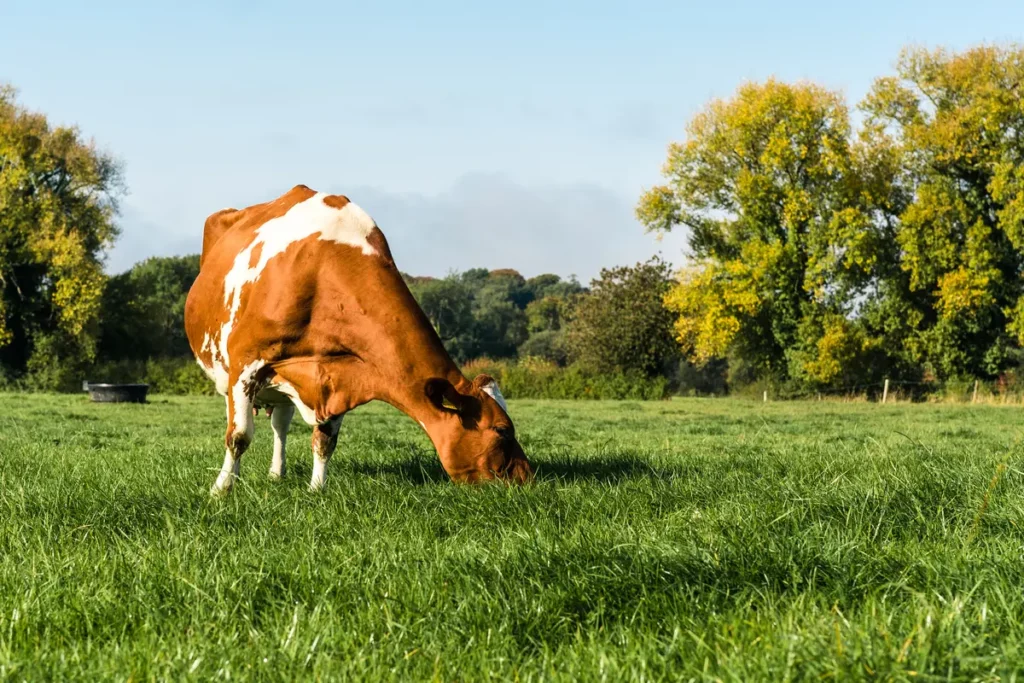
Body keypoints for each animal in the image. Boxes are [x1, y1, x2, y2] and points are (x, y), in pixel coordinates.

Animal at [184, 184, 533, 495]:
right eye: (502, 430)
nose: (527, 477)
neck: (320, 272)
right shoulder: (246, 365)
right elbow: (238, 436)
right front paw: (221, 489)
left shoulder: (342, 372)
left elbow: (325, 441)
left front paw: (316, 489)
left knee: (280, 426)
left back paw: (276, 474)